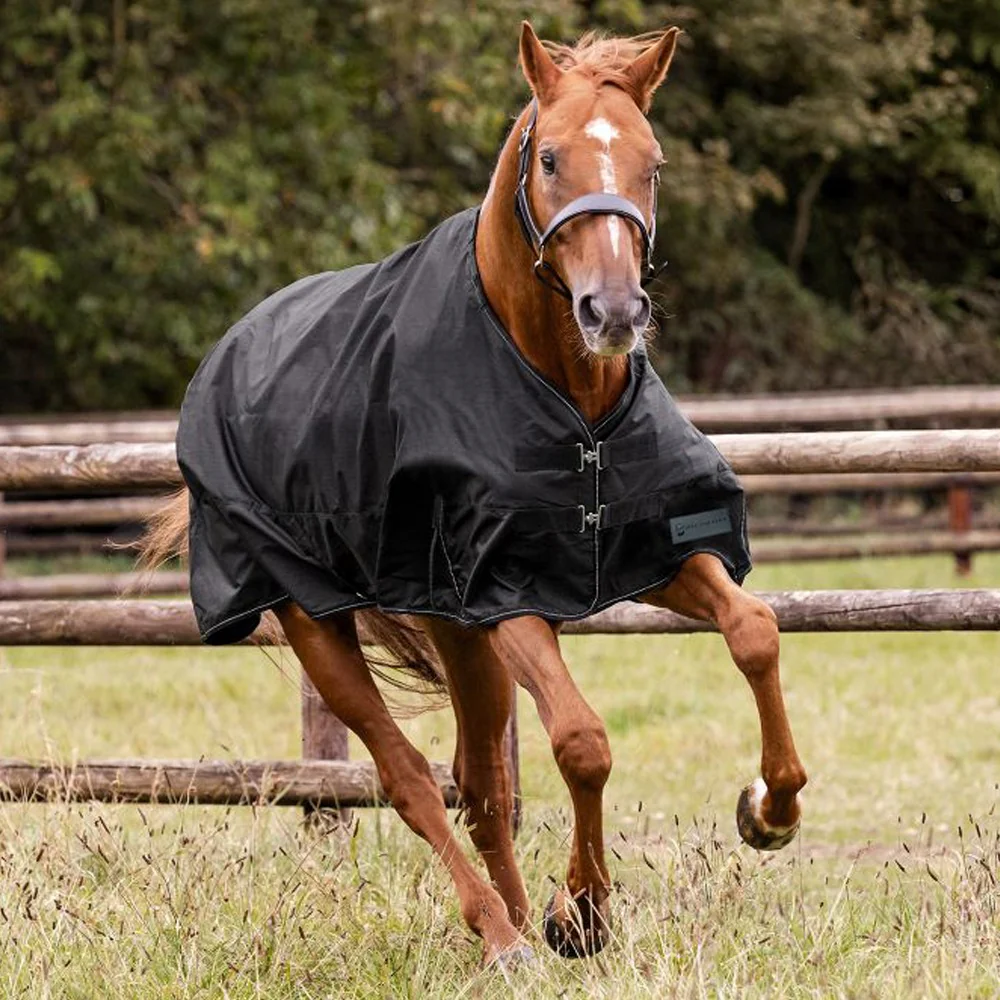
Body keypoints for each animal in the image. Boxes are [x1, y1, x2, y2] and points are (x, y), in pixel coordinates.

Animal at [141, 23, 807, 969]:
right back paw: (501, 931)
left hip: (457, 636)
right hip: (322, 625)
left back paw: (524, 925)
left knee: (480, 781)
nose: (614, 312)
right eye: (552, 158)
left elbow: (754, 630)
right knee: (411, 779)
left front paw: (769, 812)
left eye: (653, 163)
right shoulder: (507, 594)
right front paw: (586, 911)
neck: (570, 400)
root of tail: (227, 354)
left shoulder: (654, 552)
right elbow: (582, 742)